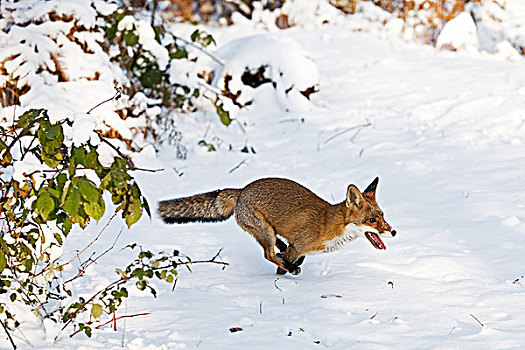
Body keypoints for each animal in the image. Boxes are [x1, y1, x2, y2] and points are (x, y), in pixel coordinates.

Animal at [158, 176, 396, 274]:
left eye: (382, 216)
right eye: (372, 220)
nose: (393, 231)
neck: (330, 226)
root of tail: (242, 190)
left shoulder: (299, 248)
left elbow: (294, 255)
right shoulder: (299, 246)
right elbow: (285, 262)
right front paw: (285, 275)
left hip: (267, 232)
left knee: (275, 249)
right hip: (265, 232)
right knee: (268, 254)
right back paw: (286, 264)